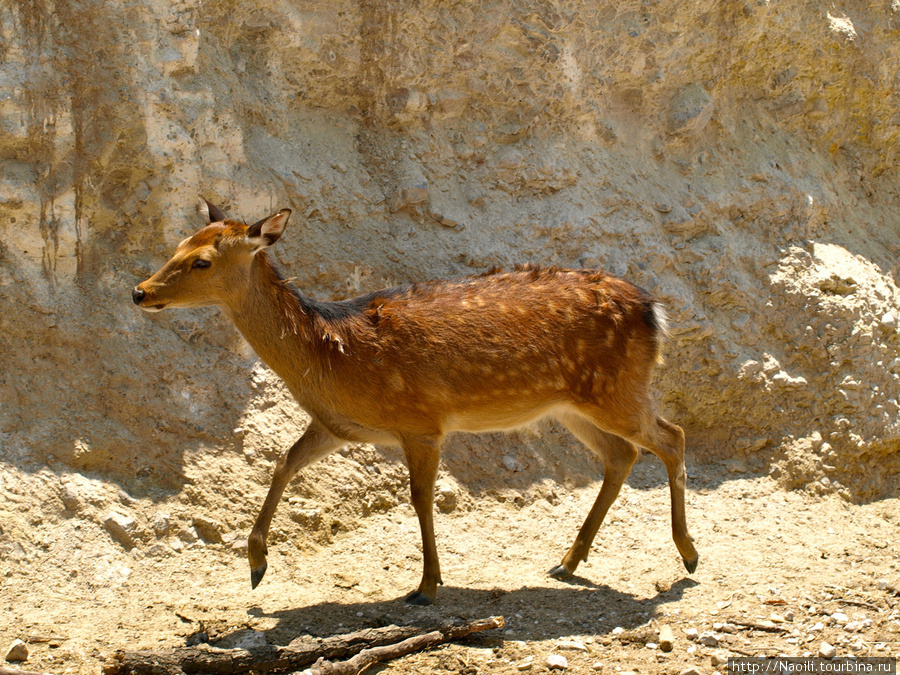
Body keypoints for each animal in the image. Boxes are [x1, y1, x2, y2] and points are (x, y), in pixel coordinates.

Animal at [132, 201, 696, 608]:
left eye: (202, 260)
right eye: (178, 243)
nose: (139, 291)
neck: (332, 355)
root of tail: (655, 310)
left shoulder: (421, 421)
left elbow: (420, 498)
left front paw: (426, 587)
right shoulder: (337, 426)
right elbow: (283, 463)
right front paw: (255, 565)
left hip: (616, 390)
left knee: (671, 436)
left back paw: (688, 557)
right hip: (572, 404)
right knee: (622, 454)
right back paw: (567, 562)